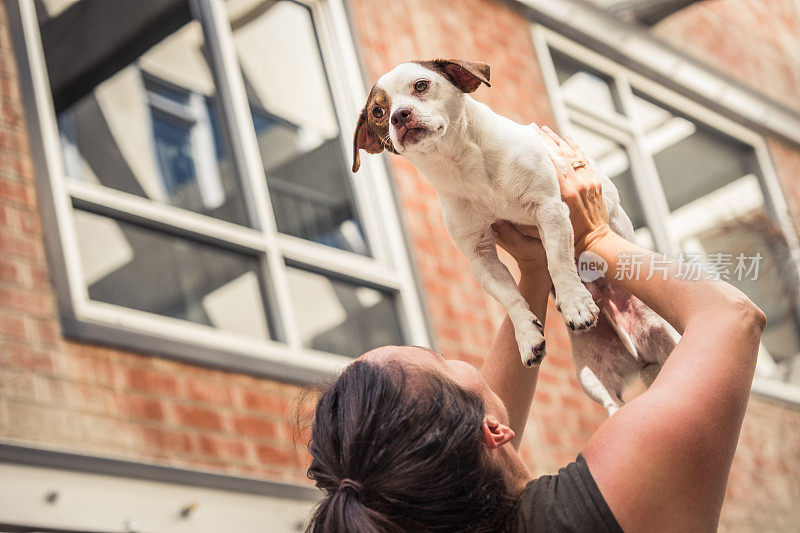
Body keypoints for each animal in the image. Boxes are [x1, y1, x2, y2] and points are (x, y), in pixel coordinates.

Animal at [354, 60, 680, 414]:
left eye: (421, 85)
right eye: (377, 111)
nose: (399, 115)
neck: (463, 165)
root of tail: (639, 353)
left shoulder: (550, 209)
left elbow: (559, 262)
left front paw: (575, 304)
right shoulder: (480, 256)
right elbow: (510, 298)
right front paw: (527, 336)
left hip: (670, 337)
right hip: (592, 376)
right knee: (614, 410)